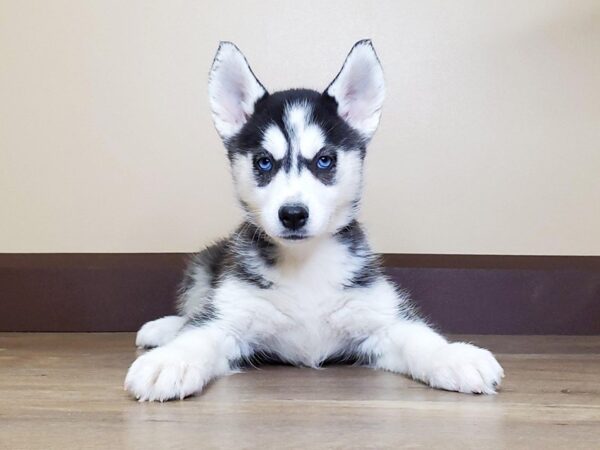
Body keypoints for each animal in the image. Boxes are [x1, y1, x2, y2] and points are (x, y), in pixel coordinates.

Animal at [124, 41, 504, 400]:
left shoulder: (381, 317)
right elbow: (199, 335)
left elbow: (419, 337)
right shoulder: (228, 317)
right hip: (203, 269)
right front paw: (170, 361)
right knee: (193, 312)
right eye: (264, 162)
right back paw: (165, 330)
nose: (293, 214)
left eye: (324, 160)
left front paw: (453, 357)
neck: (304, 264)